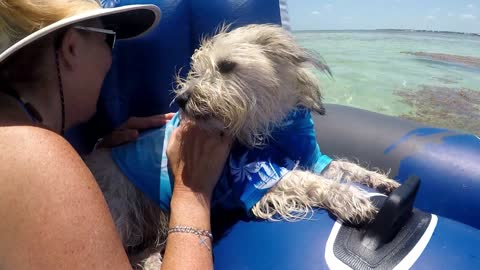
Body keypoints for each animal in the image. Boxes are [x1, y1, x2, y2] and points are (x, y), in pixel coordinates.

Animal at [83, 24, 402, 268]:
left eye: (226, 66)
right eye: (196, 70)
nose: (182, 99)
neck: (273, 126)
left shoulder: (314, 158)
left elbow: (345, 167)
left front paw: (381, 181)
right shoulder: (258, 175)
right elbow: (308, 180)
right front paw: (351, 198)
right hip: (123, 208)